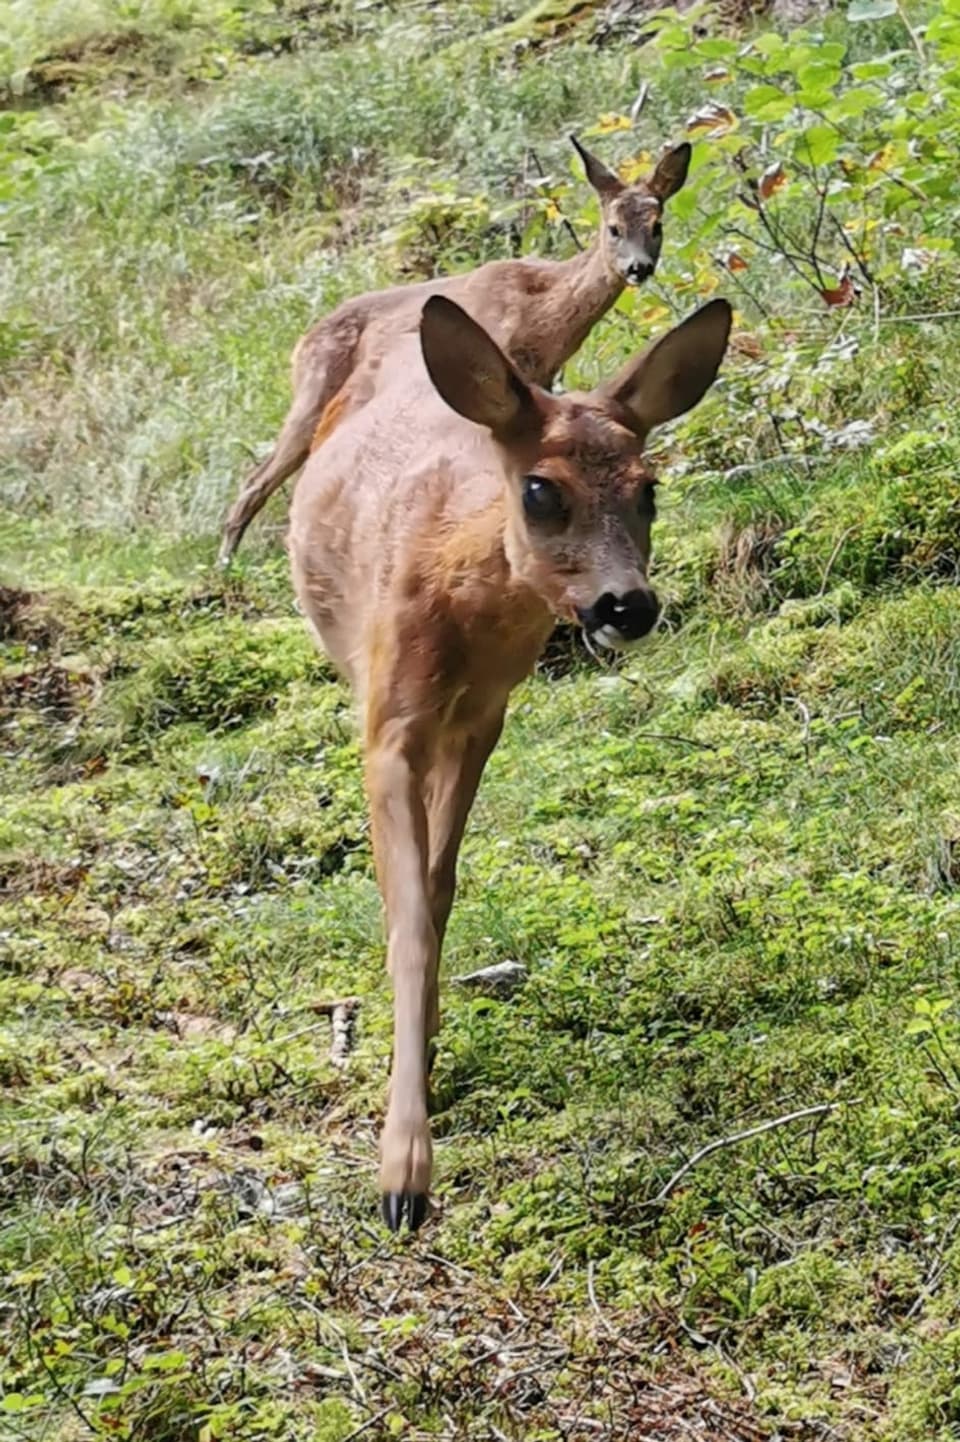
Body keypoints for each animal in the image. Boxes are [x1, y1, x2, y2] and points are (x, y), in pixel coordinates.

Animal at [220, 135, 691, 562]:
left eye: (657, 226)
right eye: (614, 229)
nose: (638, 267)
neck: (543, 313)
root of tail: (302, 343)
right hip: (313, 394)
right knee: (255, 479)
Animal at [283, 289, 726, 1228]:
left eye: (650, 489)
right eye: (540, 489)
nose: (628, 606)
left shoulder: (486, 716)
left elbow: (440, 891)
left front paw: (426, 1053)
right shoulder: (386, 722)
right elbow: (409, 917)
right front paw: (403, 1175)